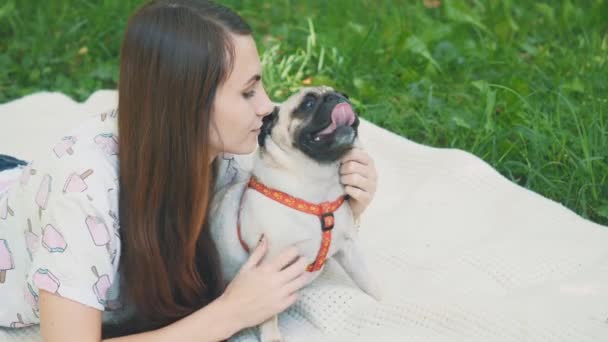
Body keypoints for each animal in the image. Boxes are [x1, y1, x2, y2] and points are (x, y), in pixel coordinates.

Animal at [209, 86, 380, 342]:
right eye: (308, 104)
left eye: (345, 95)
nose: (339, 98)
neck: (317, 189)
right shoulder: (270, 264)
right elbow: (267, 313)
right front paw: (272, 337)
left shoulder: (350, 249)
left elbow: (370, 282)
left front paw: (386, 303)